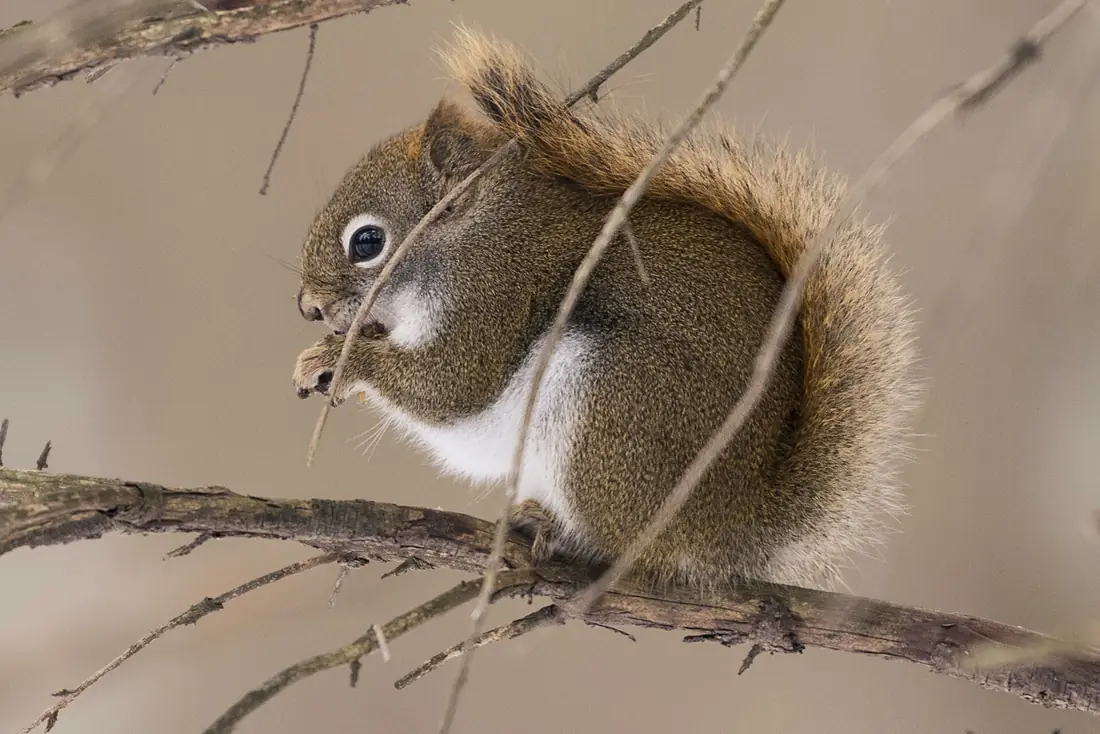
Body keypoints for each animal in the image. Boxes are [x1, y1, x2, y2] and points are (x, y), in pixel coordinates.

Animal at [291, 27, 919, 590]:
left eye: (367, 242)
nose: (308, 308)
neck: (473, 234)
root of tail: (733, 527)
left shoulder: (494, 292)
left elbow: (452, 384)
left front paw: (338, 361)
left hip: (613, 404)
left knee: (626, 545)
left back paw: (562, 532)